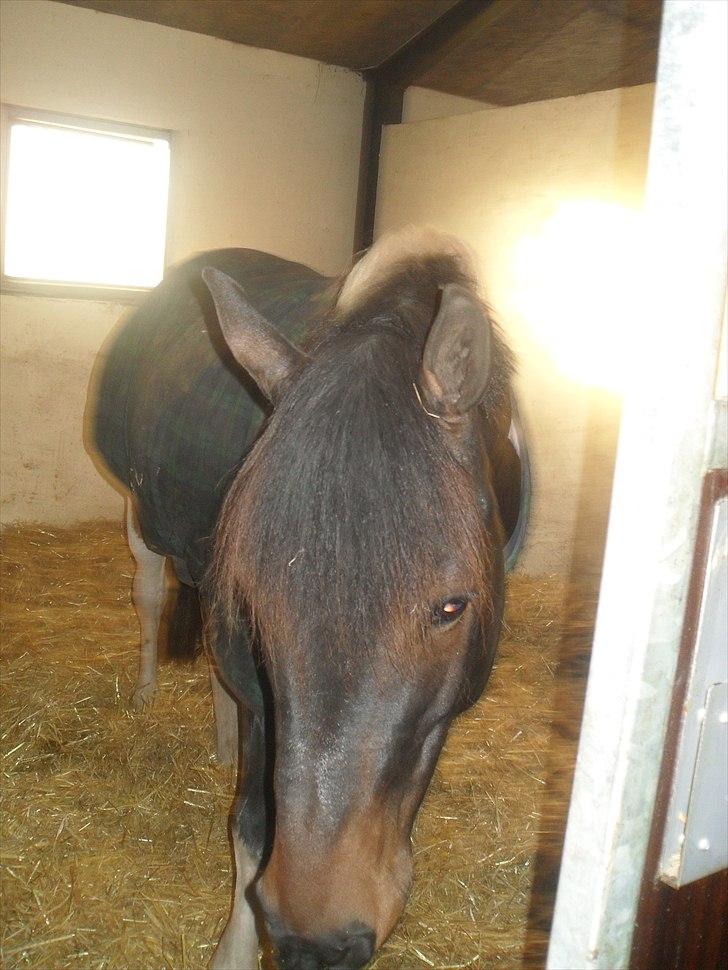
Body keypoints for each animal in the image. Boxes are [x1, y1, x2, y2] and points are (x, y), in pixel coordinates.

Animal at [90, 227, 530, 970]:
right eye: (259, 603)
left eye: (451, 607)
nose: (319, 940)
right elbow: (251, 826)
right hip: (137, 510)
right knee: (148, 596)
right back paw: (149, 694)